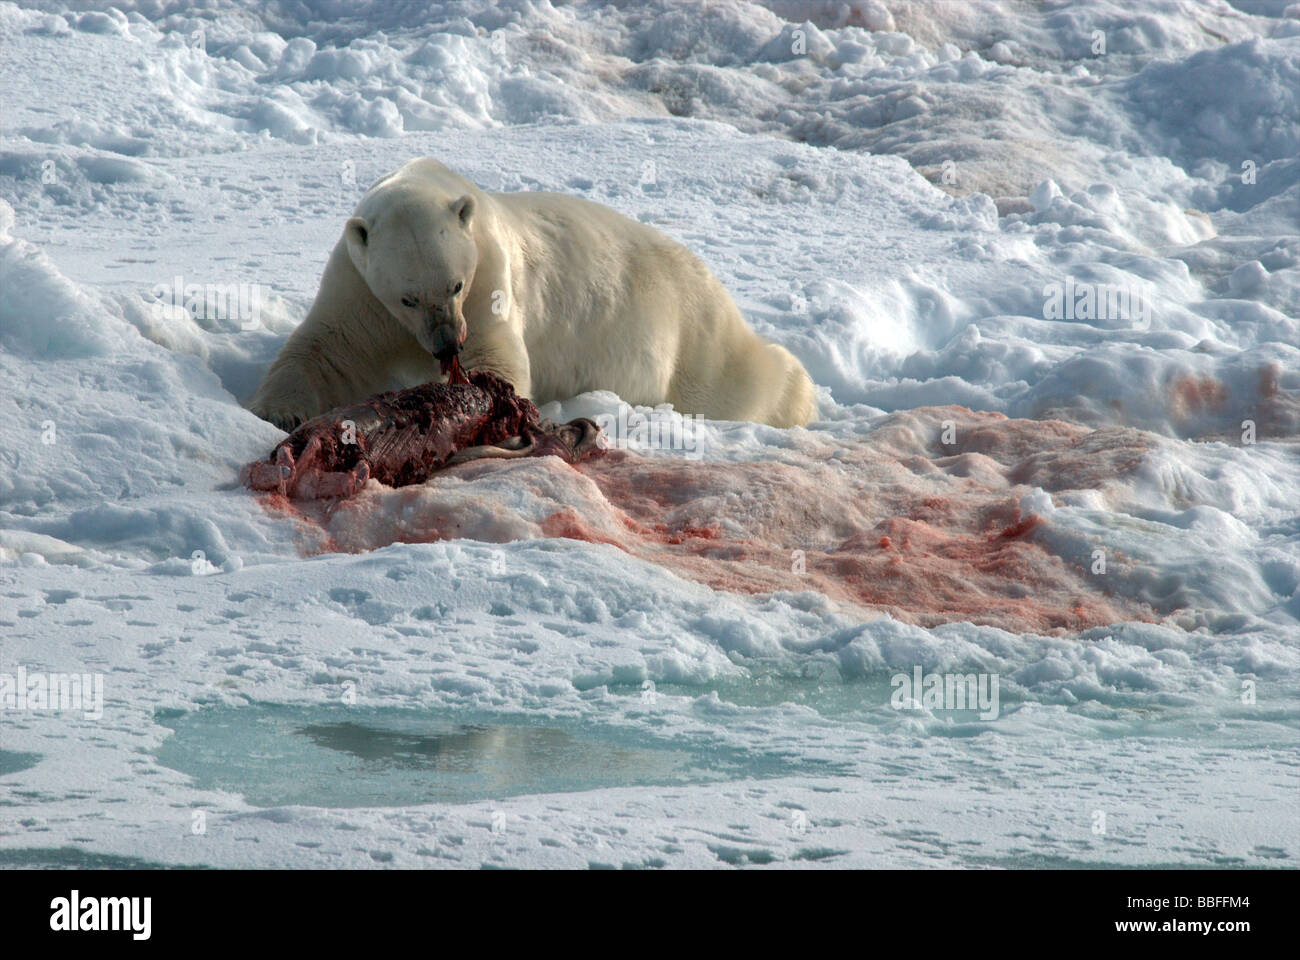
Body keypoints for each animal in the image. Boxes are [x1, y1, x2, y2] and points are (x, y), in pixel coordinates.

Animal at [245, 158, 811, 429]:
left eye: (455, 284)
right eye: (407, 298)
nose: (446, 345)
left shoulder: (490, 283)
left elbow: (497, 355)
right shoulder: (359, 285)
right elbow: (328, 348)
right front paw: (276, 412)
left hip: (692, 333)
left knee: (744, 378)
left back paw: (799, 395)